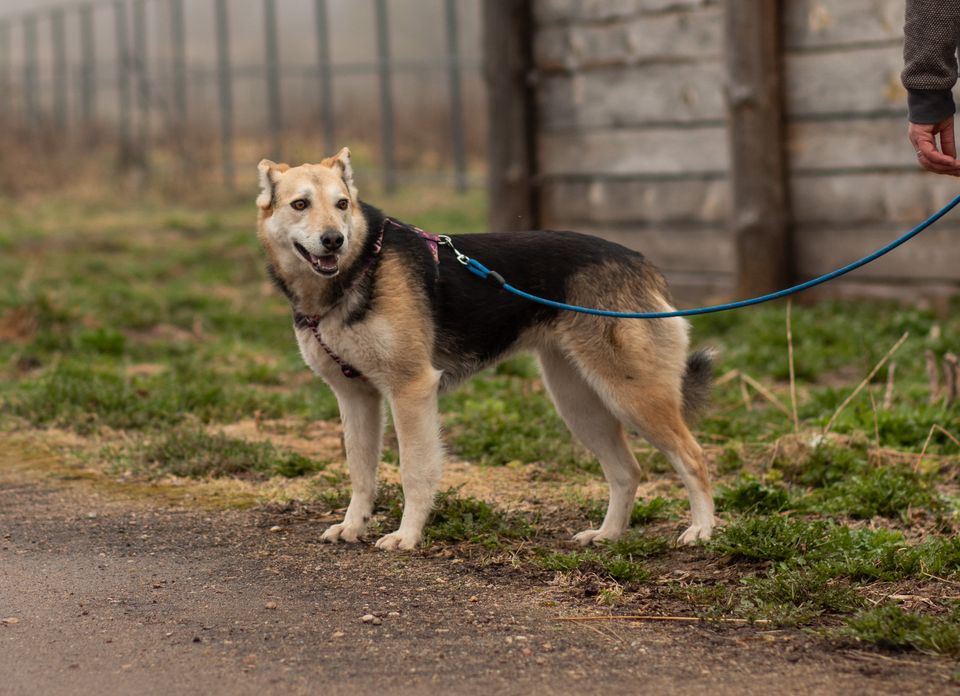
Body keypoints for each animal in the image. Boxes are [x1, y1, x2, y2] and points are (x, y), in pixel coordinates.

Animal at [255, 147, 712, 548]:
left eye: (343, 204)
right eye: (300, 204)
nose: (334, 240)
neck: (361, 266)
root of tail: (642, 263)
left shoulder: (411, 390)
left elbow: (414, 472)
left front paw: (408, 536)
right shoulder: (355, 397)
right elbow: (361, 473)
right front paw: (353, 527)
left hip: (633, 396)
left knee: (694, 458)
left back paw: (702, 530)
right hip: (580, 404)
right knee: (627, 471)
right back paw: (608, 535)